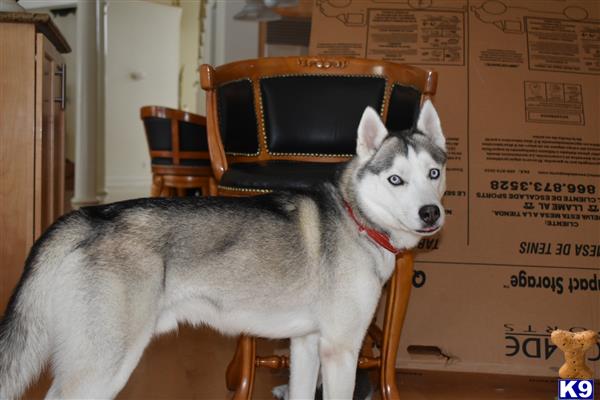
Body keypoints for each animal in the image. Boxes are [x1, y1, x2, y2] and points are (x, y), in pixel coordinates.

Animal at [0, 99, 446, 396]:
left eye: (433, 173)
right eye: (395, 179)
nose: (431, 213)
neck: (356, 217)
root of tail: (87, 218)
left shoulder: (305, 345)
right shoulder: (340, 350)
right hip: (102, 368)